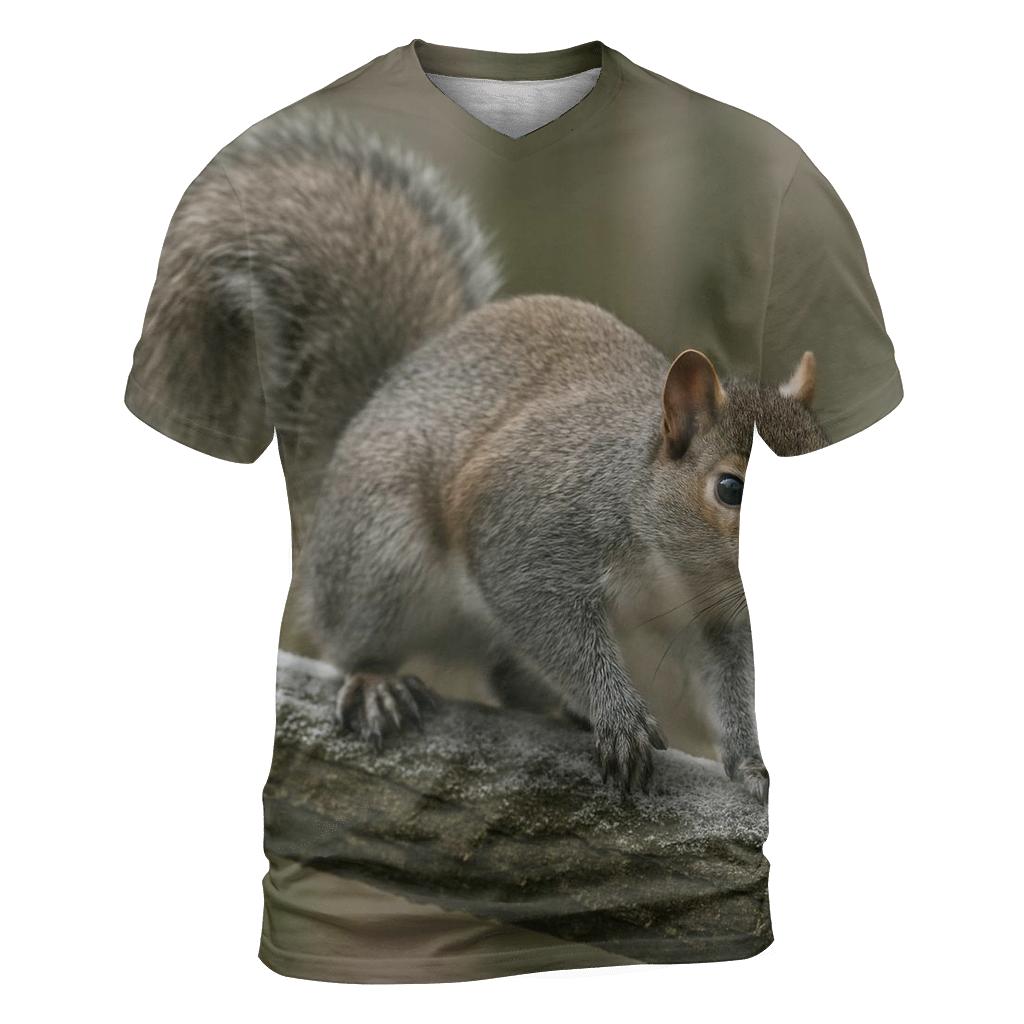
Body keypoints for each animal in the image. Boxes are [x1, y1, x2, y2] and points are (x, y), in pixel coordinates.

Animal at [152, 111, 827, 798]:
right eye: (730, 488)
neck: (671, 570)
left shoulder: (716, 618)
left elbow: (732, 684)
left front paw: (752, 763)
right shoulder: (530, 528)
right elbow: (552, 622)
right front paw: (619, 716)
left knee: (506, 675)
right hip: (380, 556)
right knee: (354, 642)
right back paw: (378, 686)